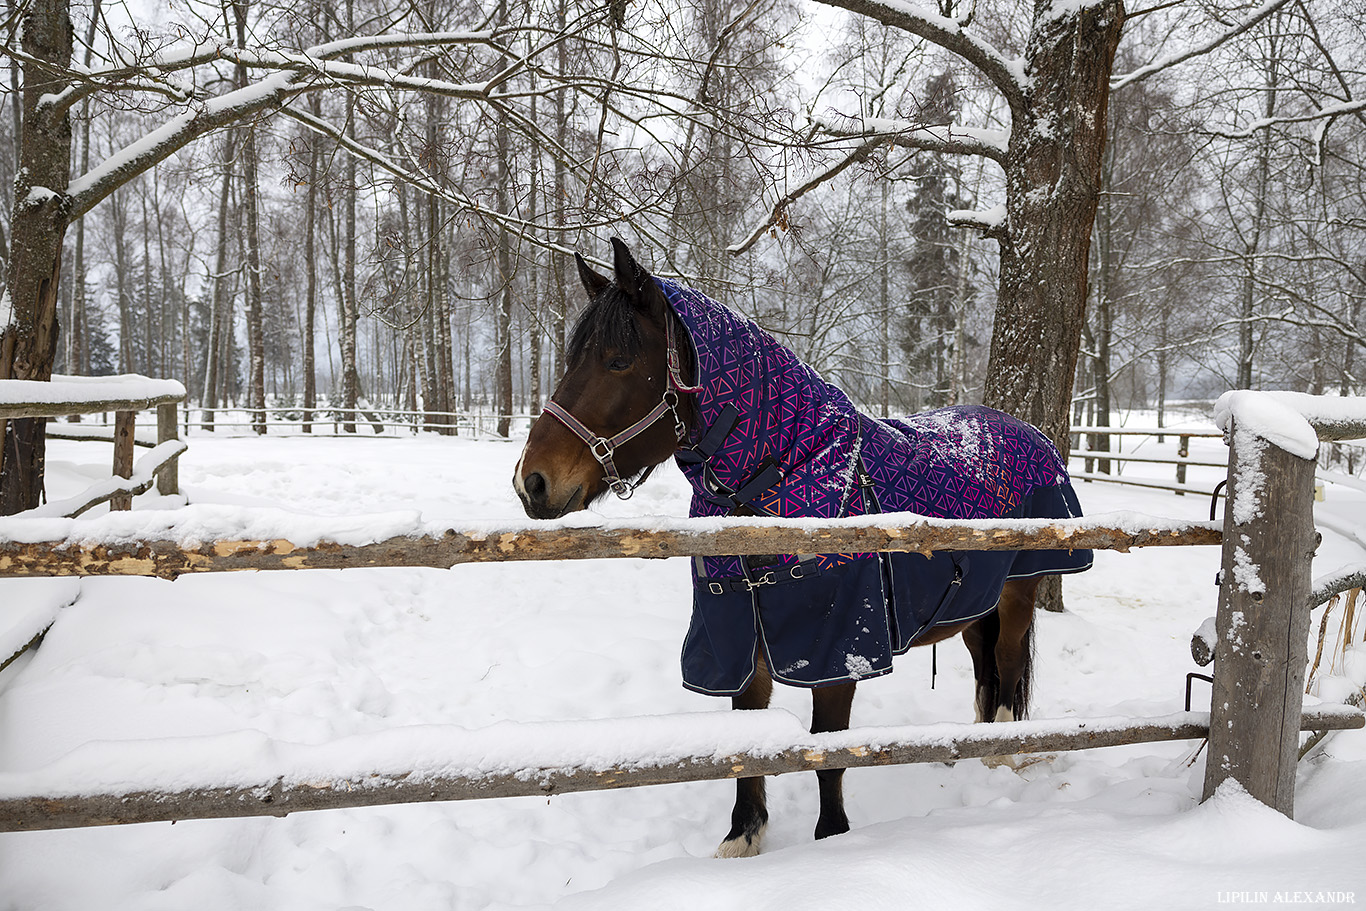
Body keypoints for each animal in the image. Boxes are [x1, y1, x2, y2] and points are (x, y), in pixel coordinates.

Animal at [516, 239, 1060, 857]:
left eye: (618, 361)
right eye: (572, 360)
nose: (532, 481)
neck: (786, 475)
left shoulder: (837, 649)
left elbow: (829, 753)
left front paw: (831, 839)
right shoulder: (741, 637)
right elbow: (745, 744)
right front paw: (743, 836)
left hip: (1018, 596)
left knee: (1008, 667)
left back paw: (1004, 756)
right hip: (974, 606)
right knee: (985, 670)